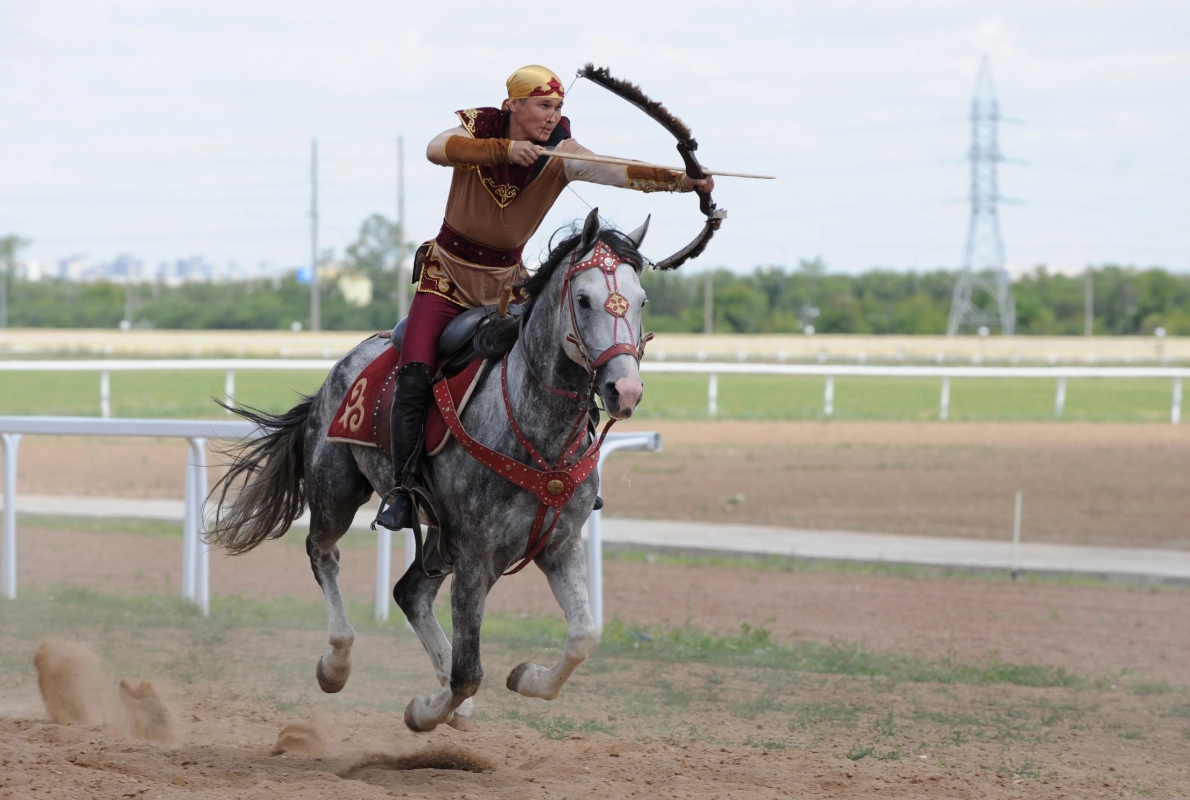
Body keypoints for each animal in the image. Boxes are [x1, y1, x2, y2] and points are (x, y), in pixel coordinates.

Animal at [205, 210, 652, 733]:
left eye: (641, 300)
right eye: (583, 299)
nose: (624, 389)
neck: (538, 434)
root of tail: (337, 372)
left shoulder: (557, 544)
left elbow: (583, 637)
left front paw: (525, 677)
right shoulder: (477, 556)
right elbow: (468, 672)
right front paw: (424, 712)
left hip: (440, 539)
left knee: (410, 592)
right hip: (338, 493)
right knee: (323, 554)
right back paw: (336, 662)